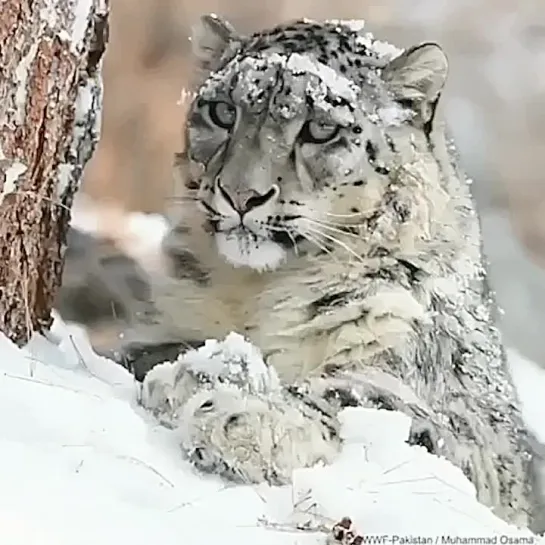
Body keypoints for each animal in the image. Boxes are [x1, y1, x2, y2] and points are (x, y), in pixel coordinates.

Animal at [57, 15, 540, 528]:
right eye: (223, 111)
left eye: (322, 129)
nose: (240, 194)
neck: (258, 292)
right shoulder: (159, 327)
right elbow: (141, 354)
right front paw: (200, 369)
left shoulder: (475, 434)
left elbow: (374, 402)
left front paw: (237, 416)